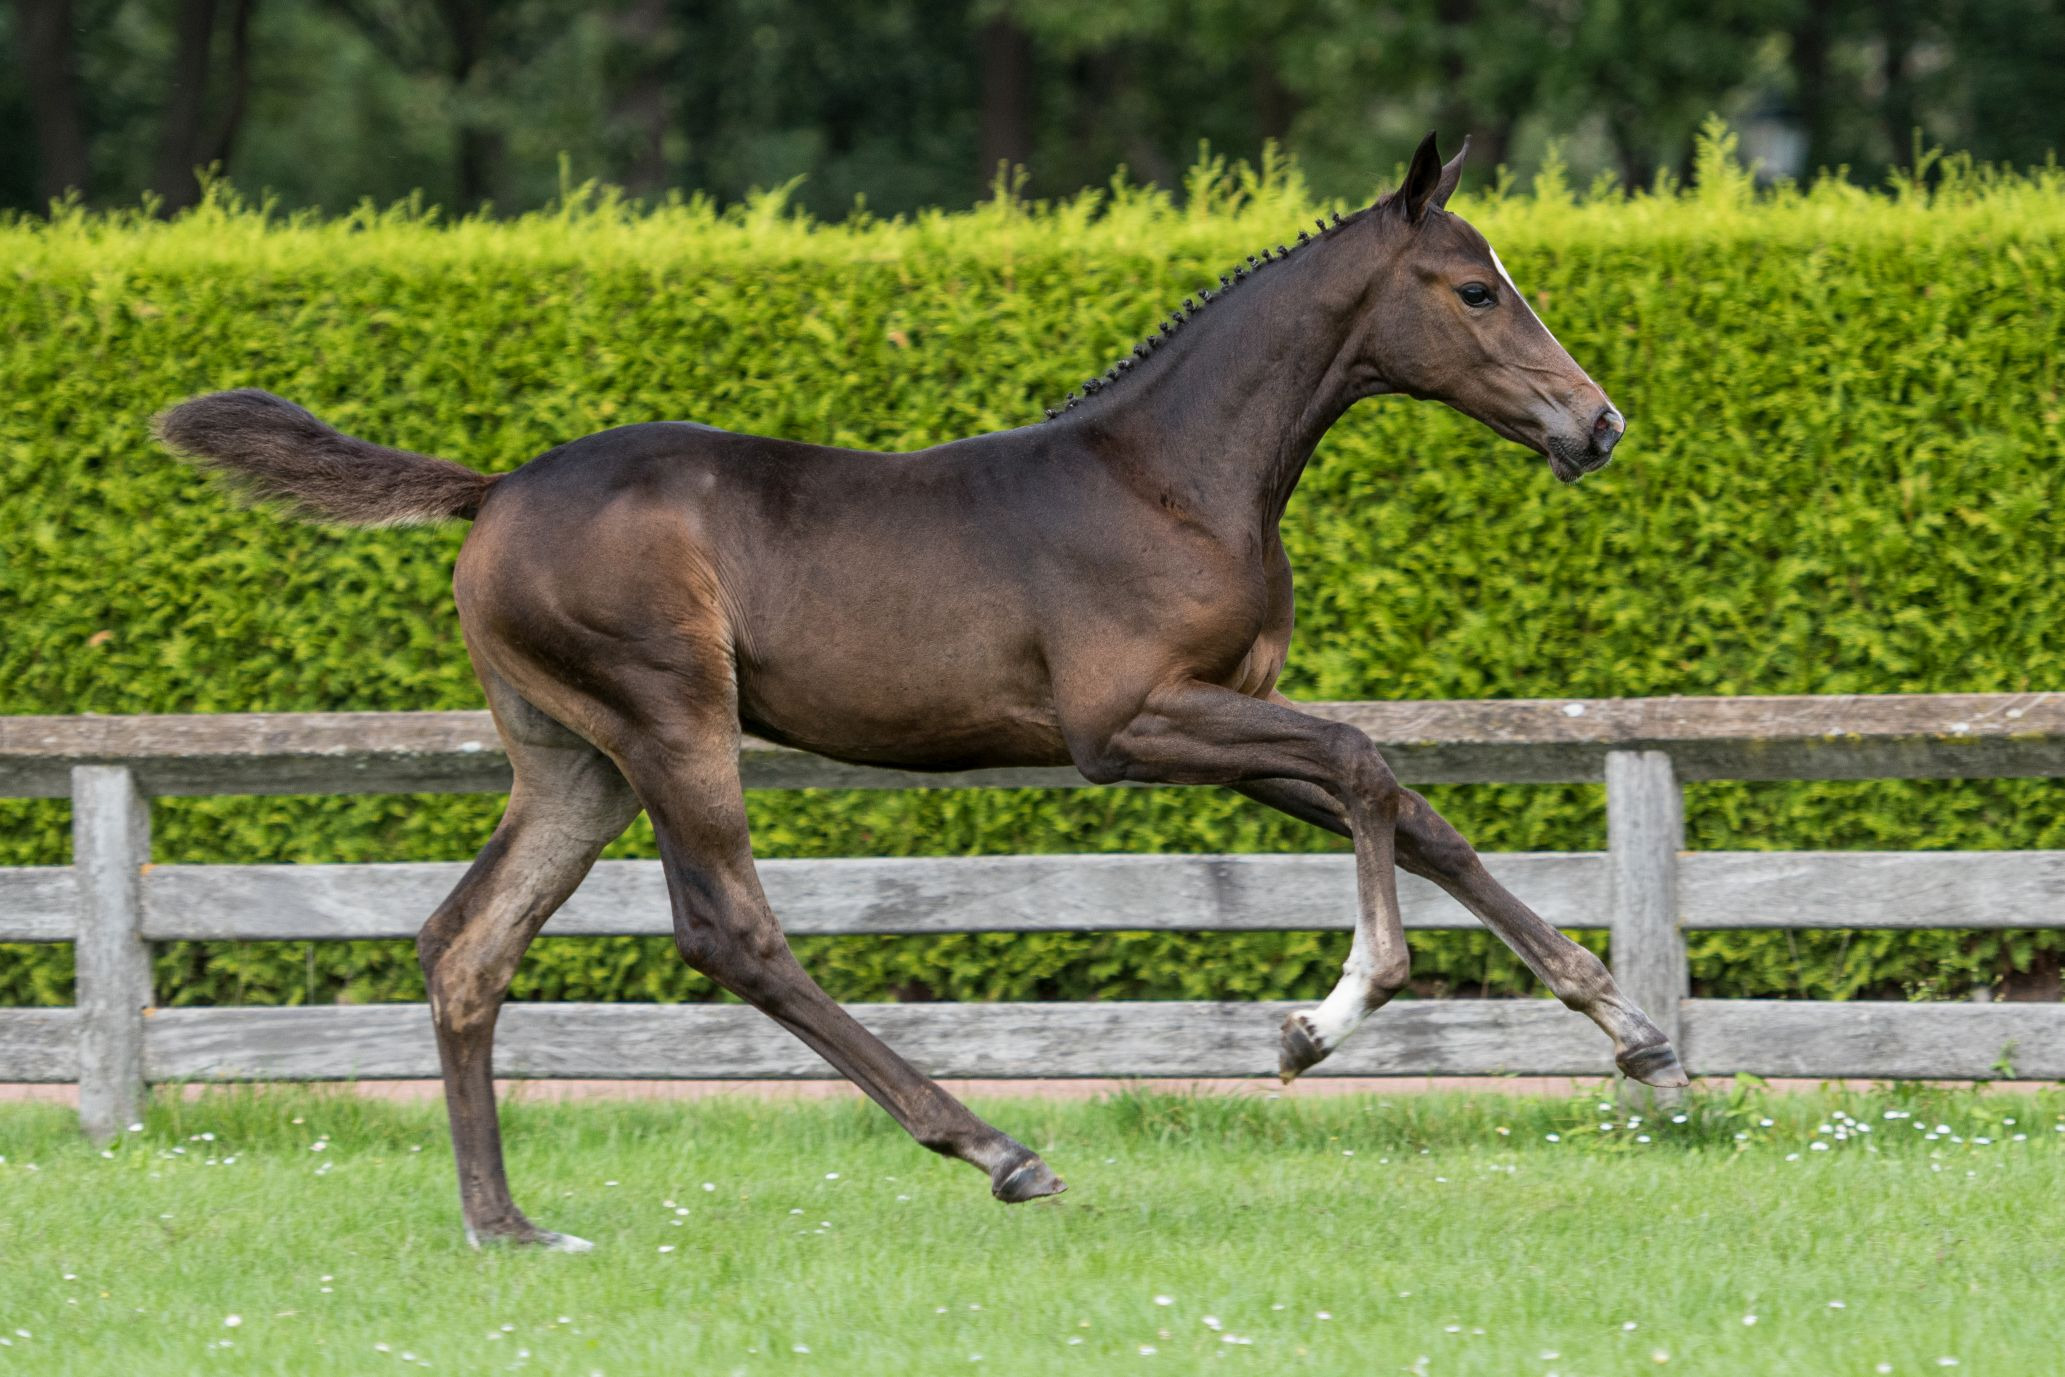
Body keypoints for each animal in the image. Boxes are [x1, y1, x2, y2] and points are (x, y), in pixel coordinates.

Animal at [157, 133, 1685, 1250]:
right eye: (1476, 290)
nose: (1598, 422)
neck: (1171, 478)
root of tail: (490, 492)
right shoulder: (1124, 724)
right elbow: (1369, 763)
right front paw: (1323, 1020)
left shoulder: (1226, 722)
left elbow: (1415, 811)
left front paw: (1638, 1036)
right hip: (668, 717)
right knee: (729, 933)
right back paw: (996, 1148)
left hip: (573, 760)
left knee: (467, 943)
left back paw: (505, 1225)